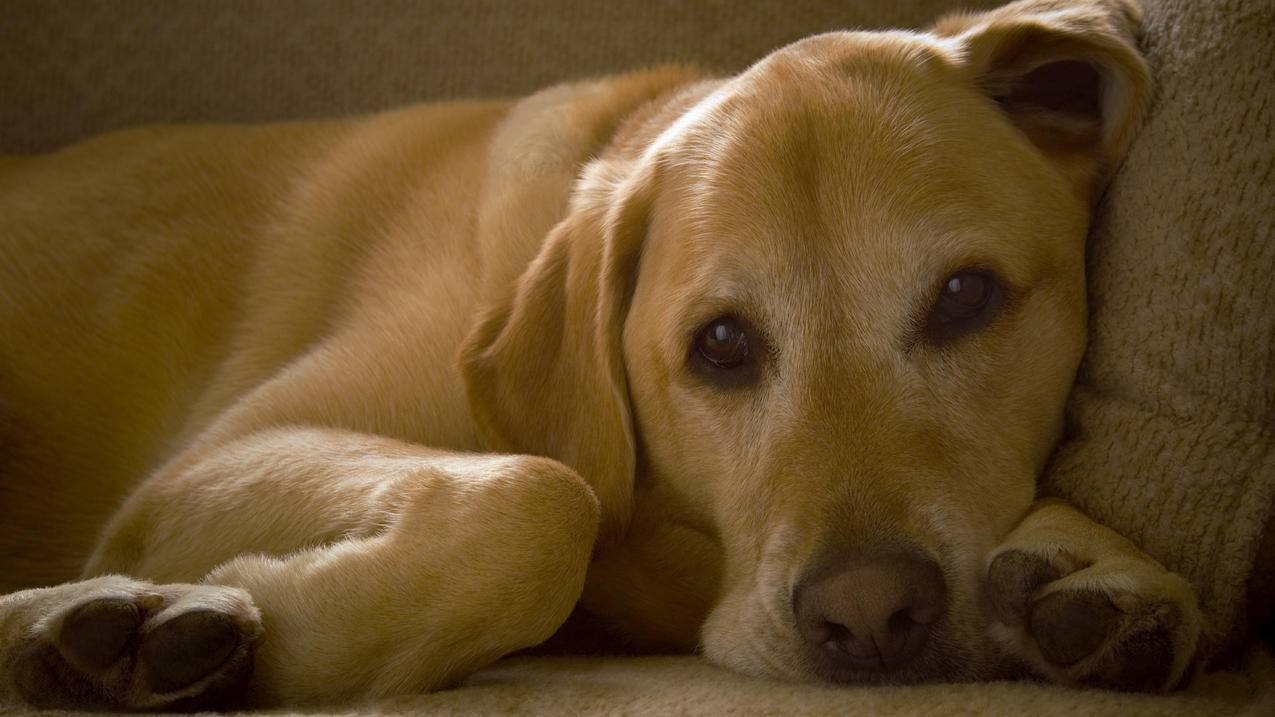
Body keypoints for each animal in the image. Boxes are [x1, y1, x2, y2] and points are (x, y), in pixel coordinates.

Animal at [0, 0, 1198, 704]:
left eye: (964, 297)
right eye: (721, 345)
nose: (869, 614)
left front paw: (1092, 560)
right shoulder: (203, 469)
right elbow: (543, 497)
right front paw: (267, 623)